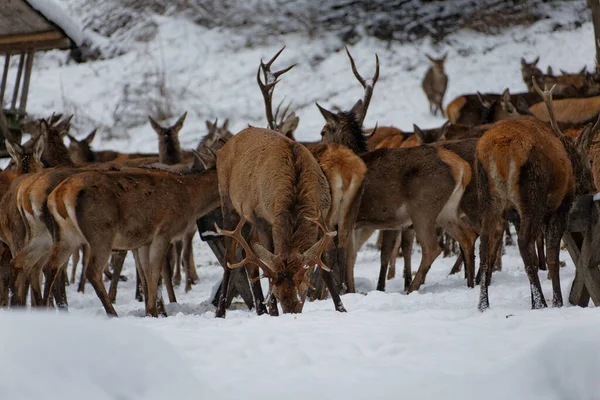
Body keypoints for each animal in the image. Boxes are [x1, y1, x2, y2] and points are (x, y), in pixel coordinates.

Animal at [476, 76, 596, 310]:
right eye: (588, 159)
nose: (592, 187)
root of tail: (500, 150)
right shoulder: (560, 207)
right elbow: (551, 257)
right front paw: (557, 301)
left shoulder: (517, 215)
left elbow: (533, 253)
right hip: (532, 195)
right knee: (523, 242)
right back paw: (542, 303)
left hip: (489, 198)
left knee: (485, 243)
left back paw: (483, 305)